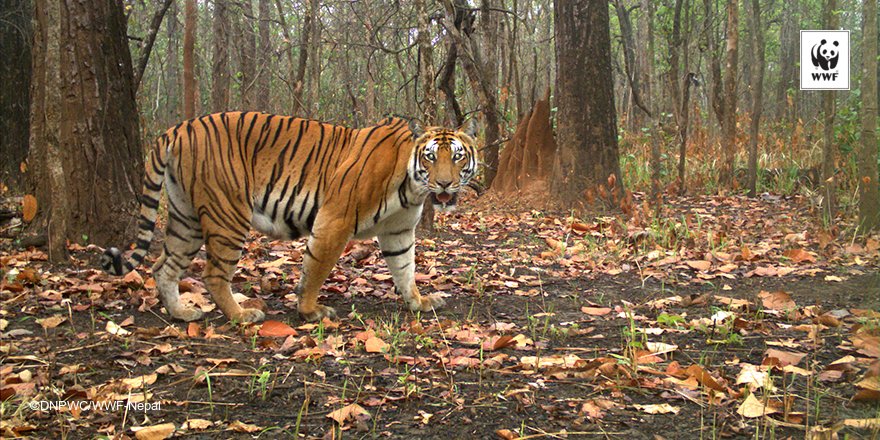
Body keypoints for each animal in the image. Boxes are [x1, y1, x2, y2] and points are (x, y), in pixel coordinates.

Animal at [101, 112, 479, 323]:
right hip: (227, 215)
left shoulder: (398, 232)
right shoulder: (334, 221)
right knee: (213, 274)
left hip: (186, 218)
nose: (444, 183)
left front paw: (419, 302)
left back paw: (181, 313)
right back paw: (242, 316)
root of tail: (178, 128)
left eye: (457, 157)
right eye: (430, 157)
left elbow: (404, 269)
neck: (412, 187)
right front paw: (310, 312)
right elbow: (315, 270)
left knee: (162, 266)